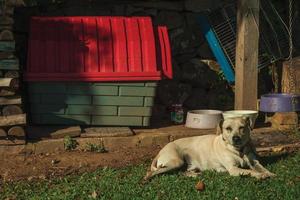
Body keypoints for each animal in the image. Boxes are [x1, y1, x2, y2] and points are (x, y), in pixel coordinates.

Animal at [144, 116, 276, 180]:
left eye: (242, 127)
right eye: (228, 128)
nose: (236, 138)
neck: (239, 151)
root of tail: (160, 151)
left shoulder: (254, 162)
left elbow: (262, 168)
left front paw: (269, 173)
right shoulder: (233, 169)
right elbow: (250, 171)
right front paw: (260, 175)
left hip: (185, 165)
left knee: (181, 172)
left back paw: (193, 175)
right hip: (176, 161)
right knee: (151, 172)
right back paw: (146, 179)